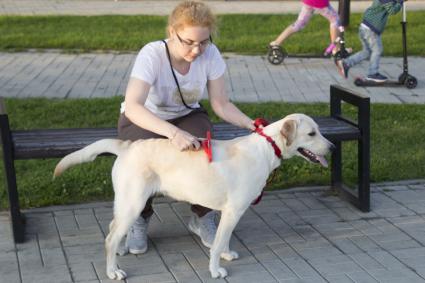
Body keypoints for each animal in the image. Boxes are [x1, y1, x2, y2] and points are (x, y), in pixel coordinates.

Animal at [53, 113, 332, 282]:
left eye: (319, 131)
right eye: (312, 134)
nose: (332, 147)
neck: (267, 148)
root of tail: (128, 146)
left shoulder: (231, 212)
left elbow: (223, 239)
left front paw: (226, 254)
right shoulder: (233, 210)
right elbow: (217, 244)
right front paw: (216, 270)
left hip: (126, 202)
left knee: (113, 228)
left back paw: (121, 250)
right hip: (134, 202)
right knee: (110, 237)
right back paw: (113, 271)